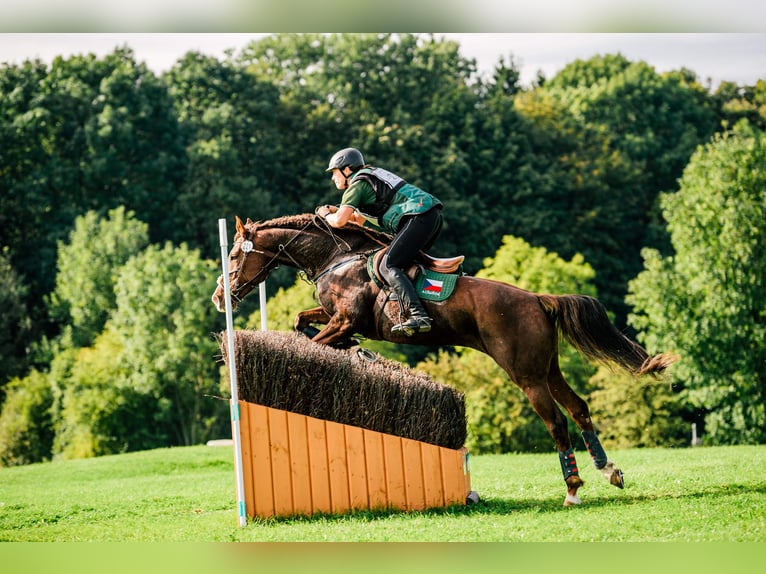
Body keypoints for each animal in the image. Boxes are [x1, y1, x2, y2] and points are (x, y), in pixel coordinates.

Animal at [211, 213, 677, 506]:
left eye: (233, 256)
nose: (220, 297)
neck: (336, 258)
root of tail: (537, 299)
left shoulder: (344, 319)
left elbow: (320, 341)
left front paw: (356, 350)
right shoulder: (333, 317)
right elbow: (300, 323)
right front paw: (354, 351)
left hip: (525, 374)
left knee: (557, 422)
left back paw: (573, 488)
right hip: (547, 368)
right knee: (578, 408)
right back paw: (608, 470)